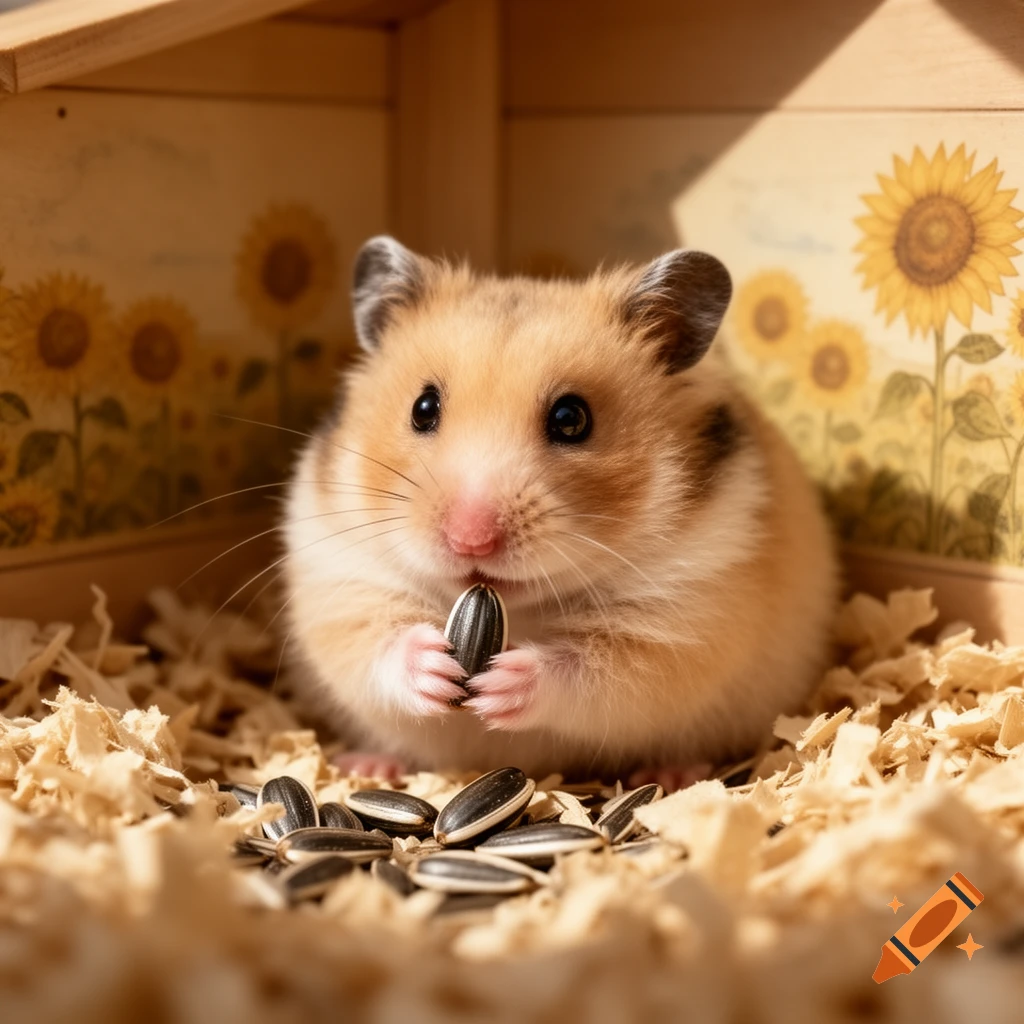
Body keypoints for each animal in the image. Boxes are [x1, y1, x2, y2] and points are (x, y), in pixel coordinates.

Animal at [282, 236, 838, 782]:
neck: (519, 609)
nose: (470, 540)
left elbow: (595, 671)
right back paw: (368, 766)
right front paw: (436, 666)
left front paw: (503, 682)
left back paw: (673, 776)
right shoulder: (341, 579)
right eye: (423, 408)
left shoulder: (686, 616)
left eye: (572, 419)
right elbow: (370, 642)